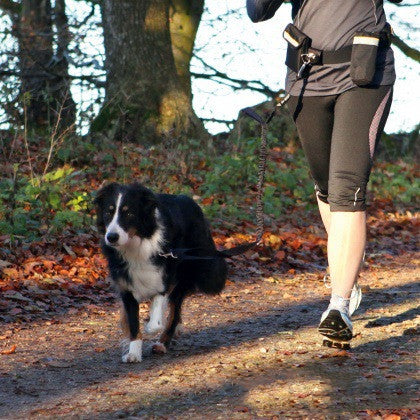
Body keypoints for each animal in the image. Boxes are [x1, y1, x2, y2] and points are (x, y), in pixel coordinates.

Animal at [94, 182, 228, 362]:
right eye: (108, 212)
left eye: (129, 213)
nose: (111, 237)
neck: (136, 246)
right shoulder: (126, 286)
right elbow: (133, 322)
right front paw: (134, 352)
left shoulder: (166, 277)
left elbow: (156, 318)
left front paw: (151, 327)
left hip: (189, 274)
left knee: (175, 311)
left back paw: (162, 342)